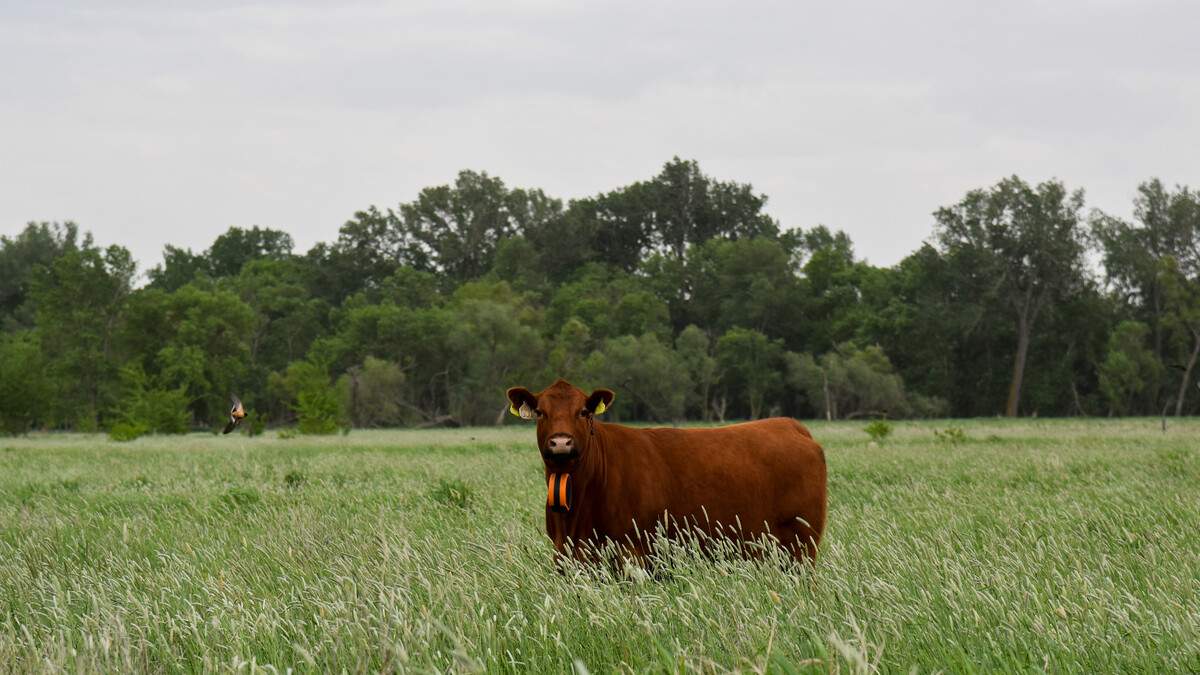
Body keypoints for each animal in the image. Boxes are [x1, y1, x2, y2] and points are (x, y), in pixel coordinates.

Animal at [506, 380, 827, 568]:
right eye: (540, 412)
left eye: (583, 412)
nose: (561, 442)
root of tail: (789, 424)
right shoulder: (565, 554)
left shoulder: (632, 552)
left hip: (802, 546)